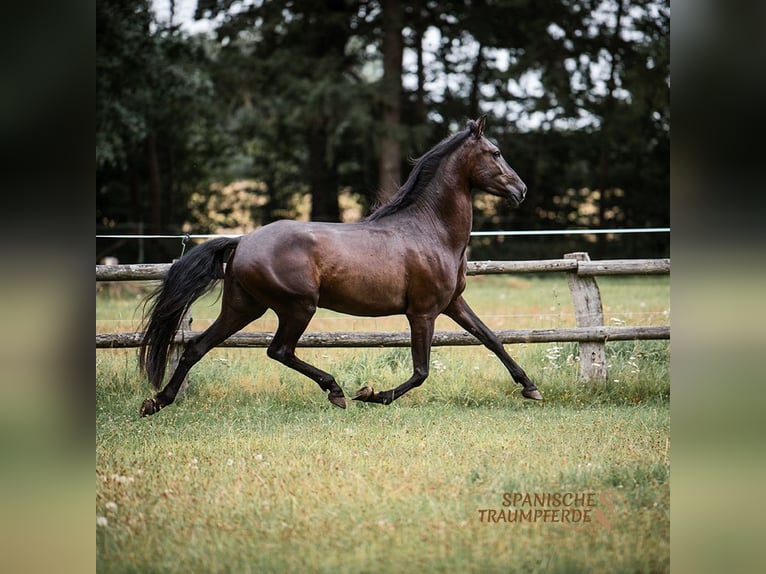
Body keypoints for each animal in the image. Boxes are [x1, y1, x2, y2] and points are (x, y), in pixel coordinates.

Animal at [140, 113, 544, 418]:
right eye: (495, 152)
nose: (522, 190)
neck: (430, 231)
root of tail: (242, 241)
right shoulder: (423, 312)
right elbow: (421, 371)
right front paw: (371, 394)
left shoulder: (453, 303)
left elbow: (491, 338)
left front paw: (531, 388)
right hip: (298, 306)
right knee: (279, 351)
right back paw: (335, 390)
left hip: (244, 307)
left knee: (197, 346)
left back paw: (156, 402)